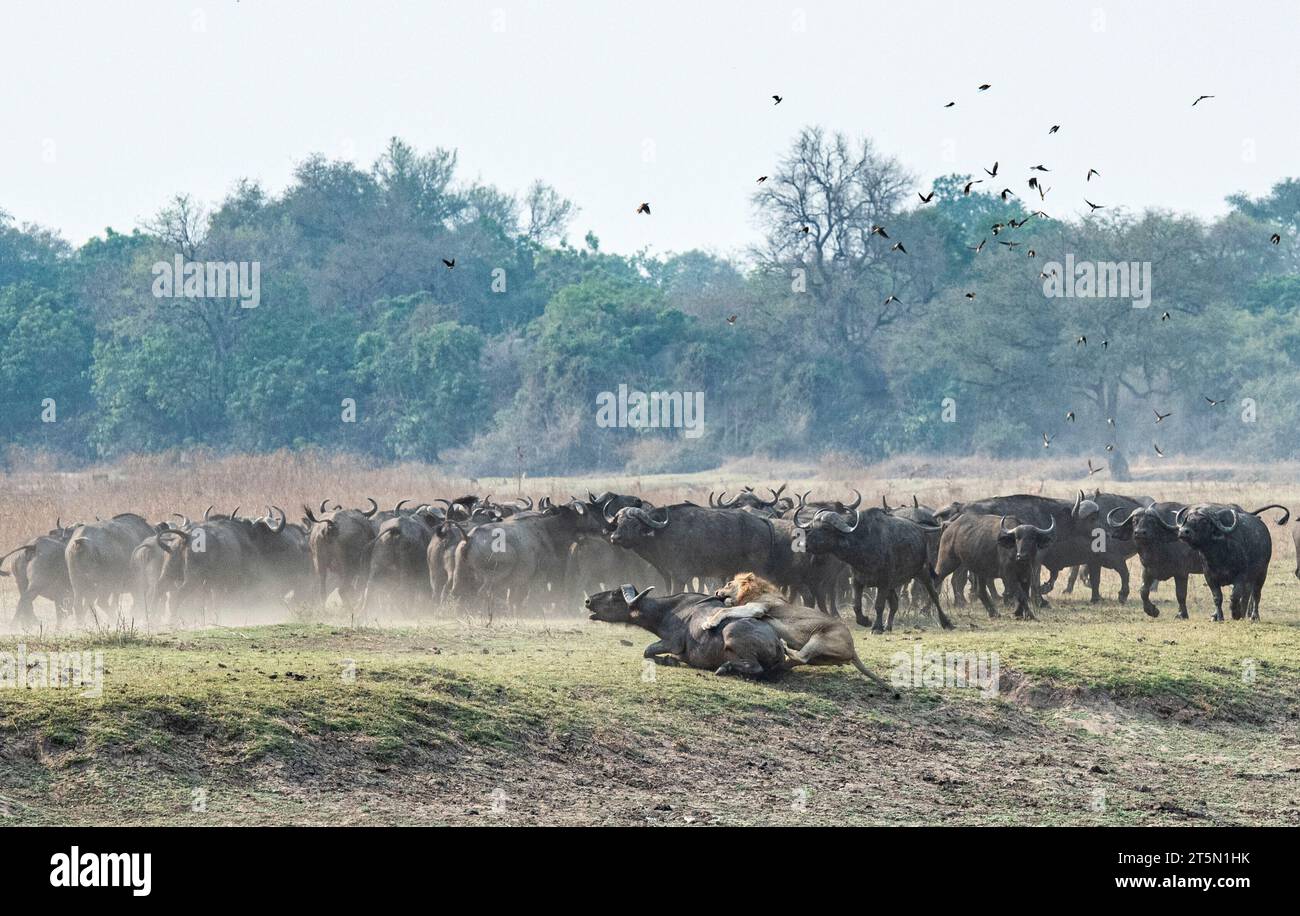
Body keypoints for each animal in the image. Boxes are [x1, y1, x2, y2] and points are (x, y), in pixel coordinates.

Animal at [702, 571, 894, 686]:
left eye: (728, 584)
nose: (716, 591)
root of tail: (853, 648)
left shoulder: (757, 608)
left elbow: (725, 610)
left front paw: (709, 622)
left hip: (820, 637)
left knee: (802, 656)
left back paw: (784, 645)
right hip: (820, 657)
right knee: (801, 659)